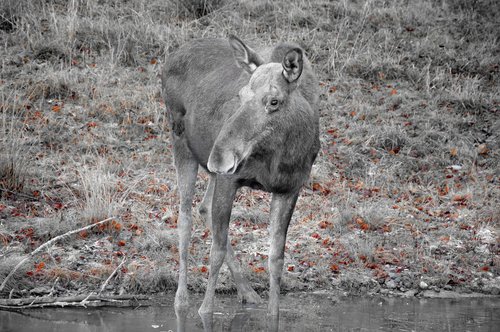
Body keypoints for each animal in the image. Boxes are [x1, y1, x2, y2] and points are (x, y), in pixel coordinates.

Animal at [163, 35, 320, 320]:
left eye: (274, 101)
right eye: (241, 95)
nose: (219, 156)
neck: (279, 157)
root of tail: (172, 55)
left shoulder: (290, 188)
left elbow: (276, 258)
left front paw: (272, 313)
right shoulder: (230, 179)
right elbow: (216, 250)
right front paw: (205, 310)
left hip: (209, 169)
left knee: (203, 208)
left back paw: (248, 292)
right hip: (180, 142)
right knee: (185, 217)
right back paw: (182, 301)